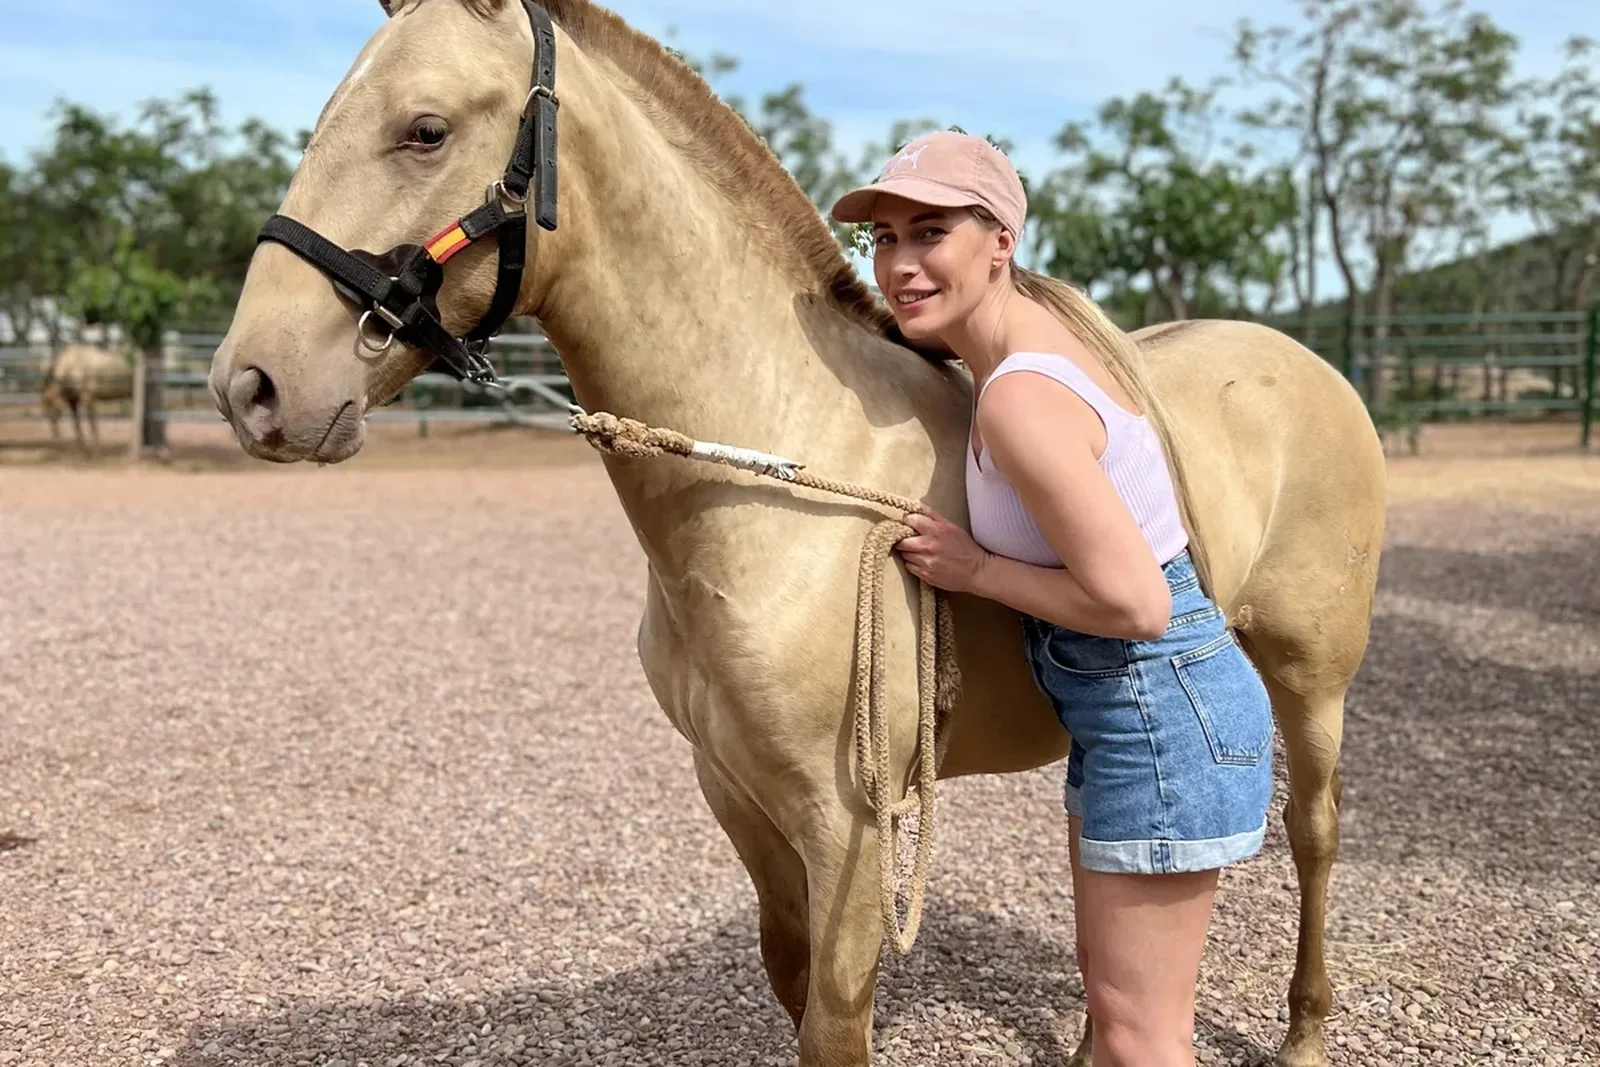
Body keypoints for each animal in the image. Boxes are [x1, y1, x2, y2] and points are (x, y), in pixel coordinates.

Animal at [205, 3, 1388, 1064]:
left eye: (425, 128)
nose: (249, 386)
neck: (785, 477)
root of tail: (1310, 363)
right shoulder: (736, 794)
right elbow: (787, 976)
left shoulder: (850, 826)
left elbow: (834, 1024)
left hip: (1312, 678)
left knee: (1314, 832)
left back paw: (1303, 1032)